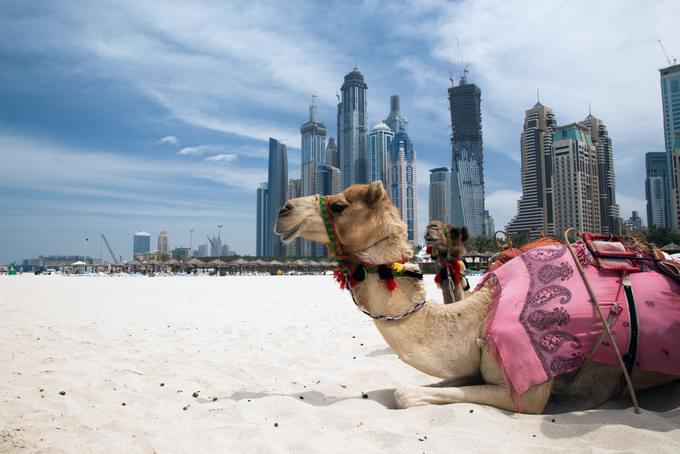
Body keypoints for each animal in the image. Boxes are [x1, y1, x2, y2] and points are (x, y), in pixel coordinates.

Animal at [276, 182, 680, 414]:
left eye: (340, 205)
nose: (283, 210)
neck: (480, 315)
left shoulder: (531, 392)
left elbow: (403, 394)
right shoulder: (470, 365)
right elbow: (417, 387)